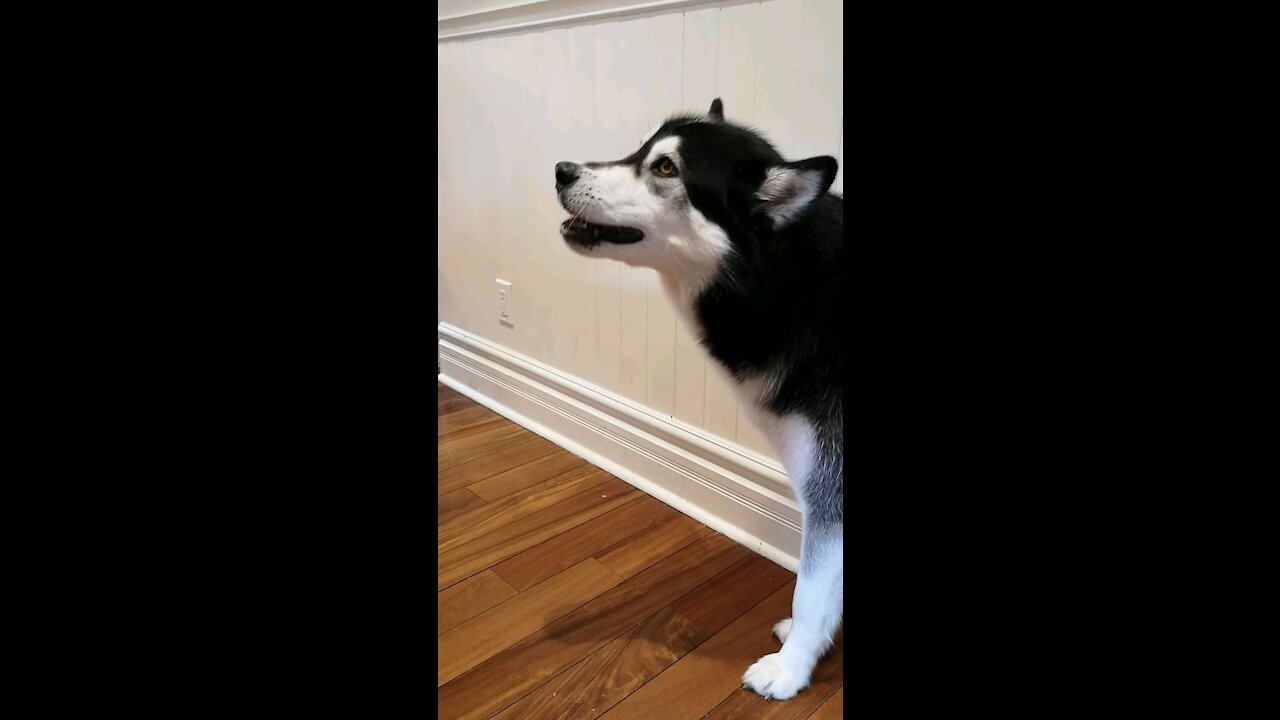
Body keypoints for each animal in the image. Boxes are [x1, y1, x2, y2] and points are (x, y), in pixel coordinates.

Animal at [555, 98, 844, 696]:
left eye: (666, 168)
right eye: (640, 150)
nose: (561, 171)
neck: (783, 283)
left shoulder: (831, 484)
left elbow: (812, 589)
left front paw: (791, 669)